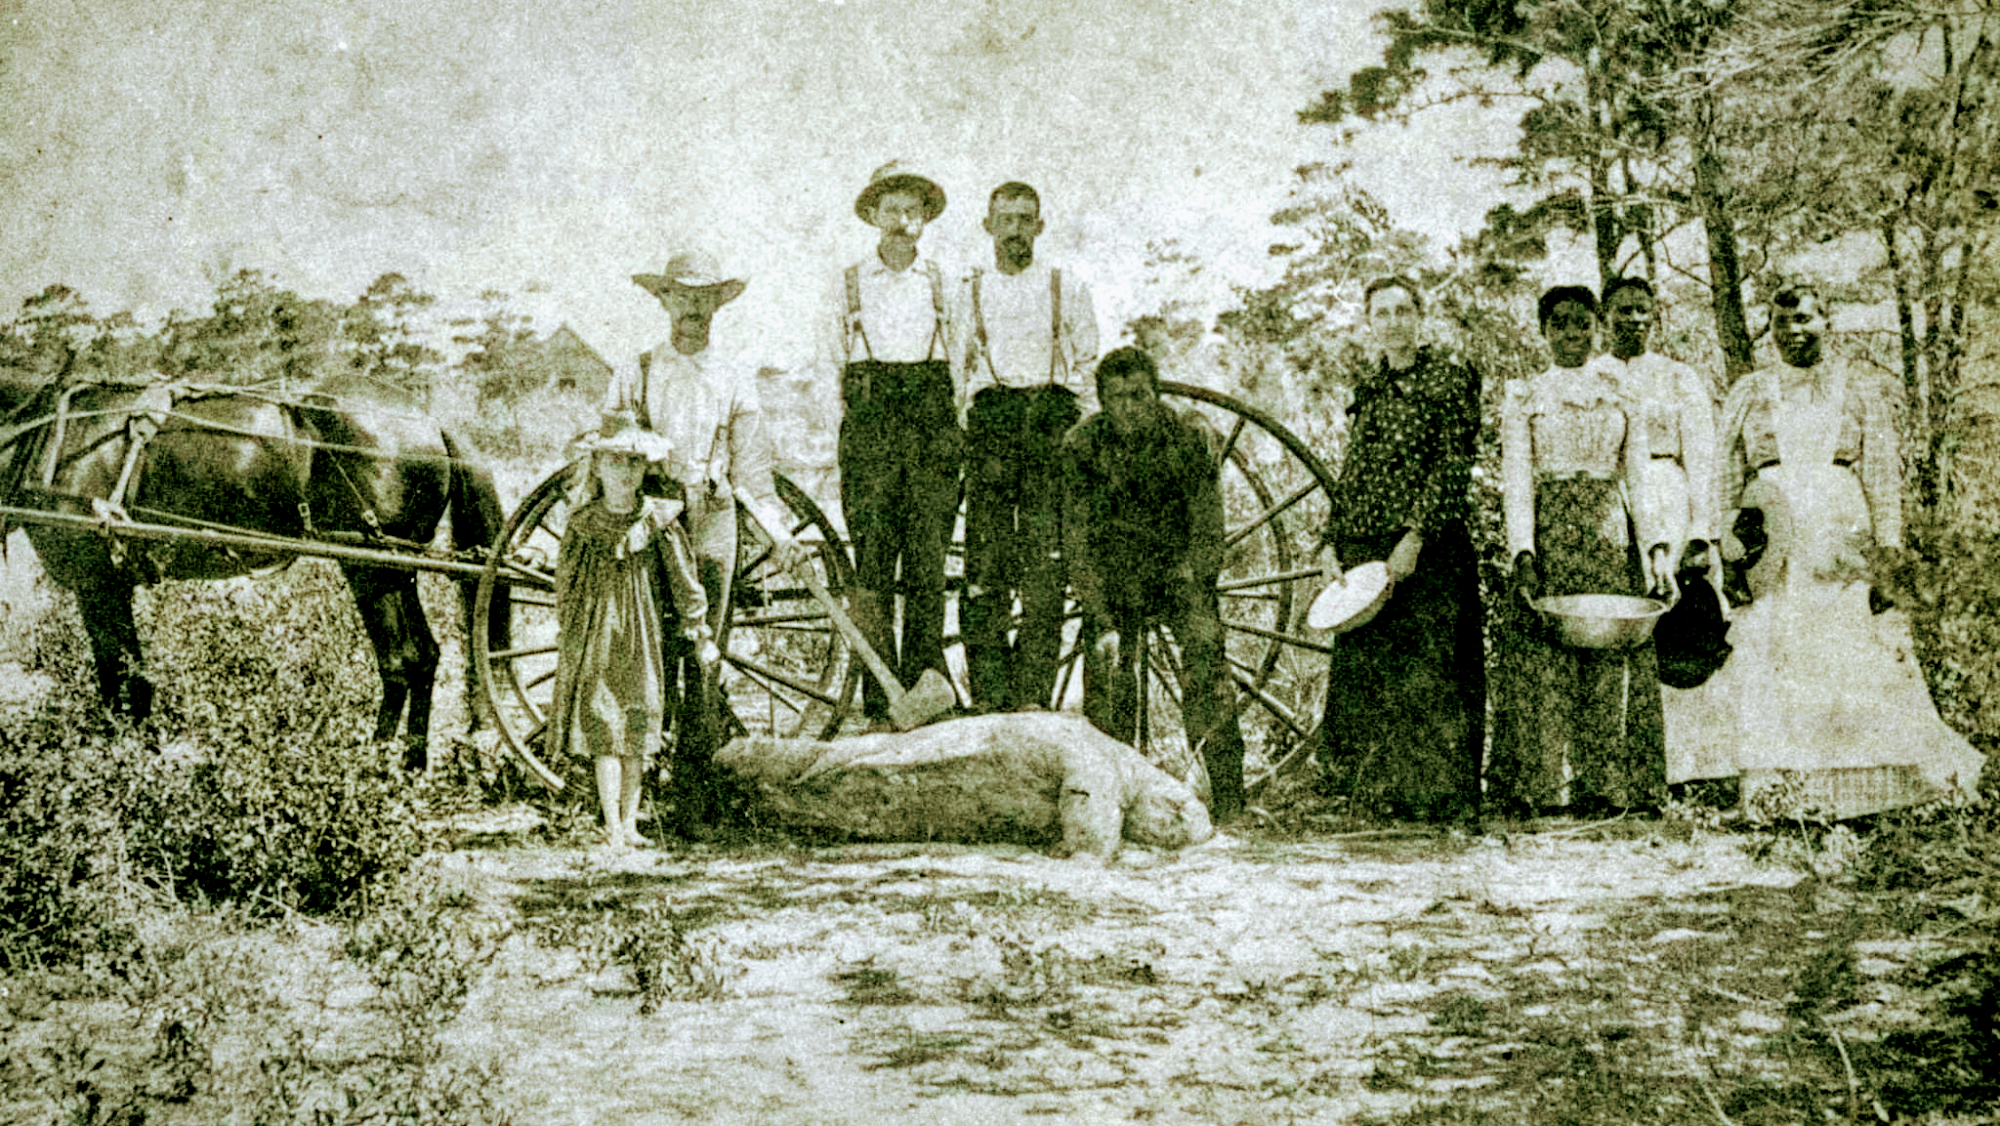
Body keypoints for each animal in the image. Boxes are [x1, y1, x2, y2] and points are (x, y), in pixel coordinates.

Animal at [0, 361, 512, 767]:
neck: (51, 437)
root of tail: (430, 420)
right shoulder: (112, 583)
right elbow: (134, 674)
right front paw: (142, 749)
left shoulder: (95, 583)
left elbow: (115, 674)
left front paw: (114, 756)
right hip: (392, 571)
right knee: (420, 657)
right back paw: (406, 761)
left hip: (375, 568)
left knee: (403, 658)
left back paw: (379, 764)